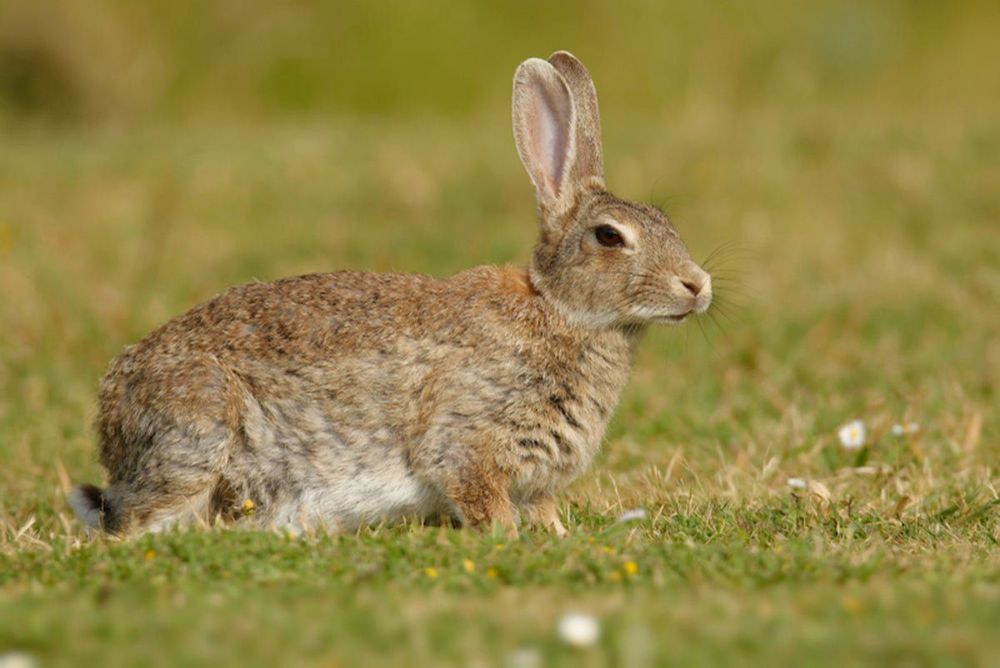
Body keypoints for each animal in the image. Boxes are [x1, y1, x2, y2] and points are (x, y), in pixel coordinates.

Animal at [70, 49, 712, 536]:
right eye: (609, 236)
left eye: (663, 219)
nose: (697, 285)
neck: (560, 311)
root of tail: (110, 410)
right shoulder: (467, 443)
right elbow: (483, 499)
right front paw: (510, 541)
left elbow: (543, 509)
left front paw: (557, 537)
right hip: (198, 432)